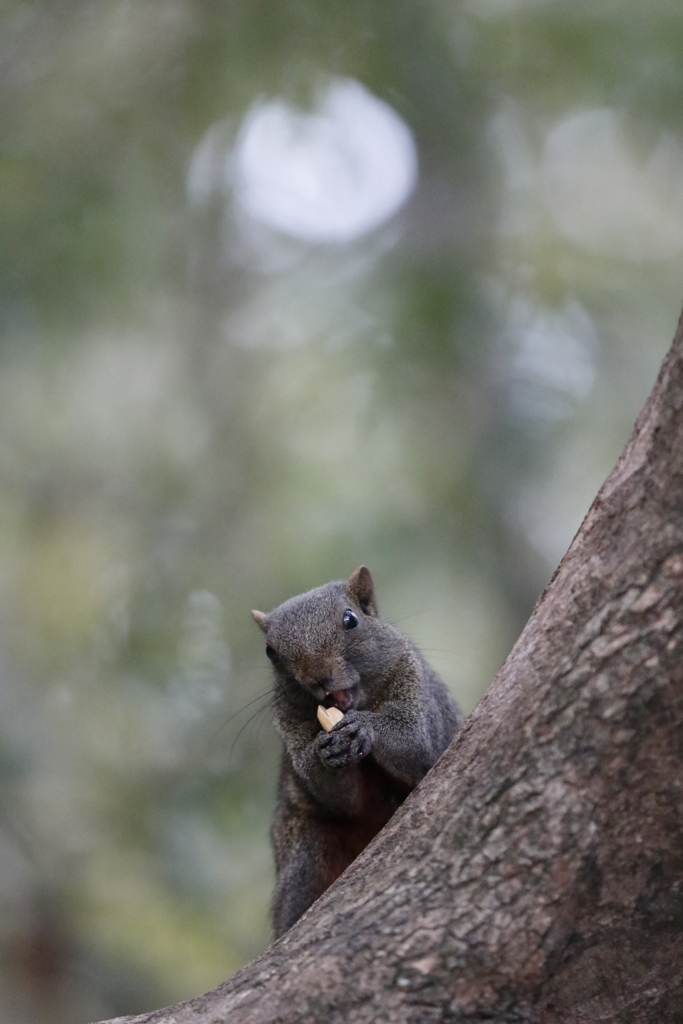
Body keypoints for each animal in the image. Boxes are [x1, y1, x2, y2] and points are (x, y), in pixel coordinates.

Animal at [250, 565, 464, 937]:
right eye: (270, 652)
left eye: (350, 619)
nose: (318, 677)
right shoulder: (291, 726)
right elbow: (342, 799)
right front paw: (323, 755)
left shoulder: (416, 688)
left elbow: (418, 743)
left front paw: (365, 728)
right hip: (305, 852)